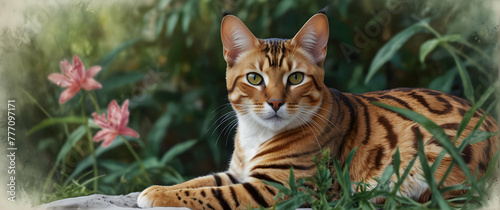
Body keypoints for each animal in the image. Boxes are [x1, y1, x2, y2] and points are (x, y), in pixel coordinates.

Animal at [136, 12, 496, 209]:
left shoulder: (279, 187)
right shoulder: (238, 172)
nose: (275, 102)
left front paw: (158, 196)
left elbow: (211, 195)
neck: (256, 134)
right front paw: (156, 189)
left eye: (295, 78)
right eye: (254, 78)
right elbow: (198, 181)